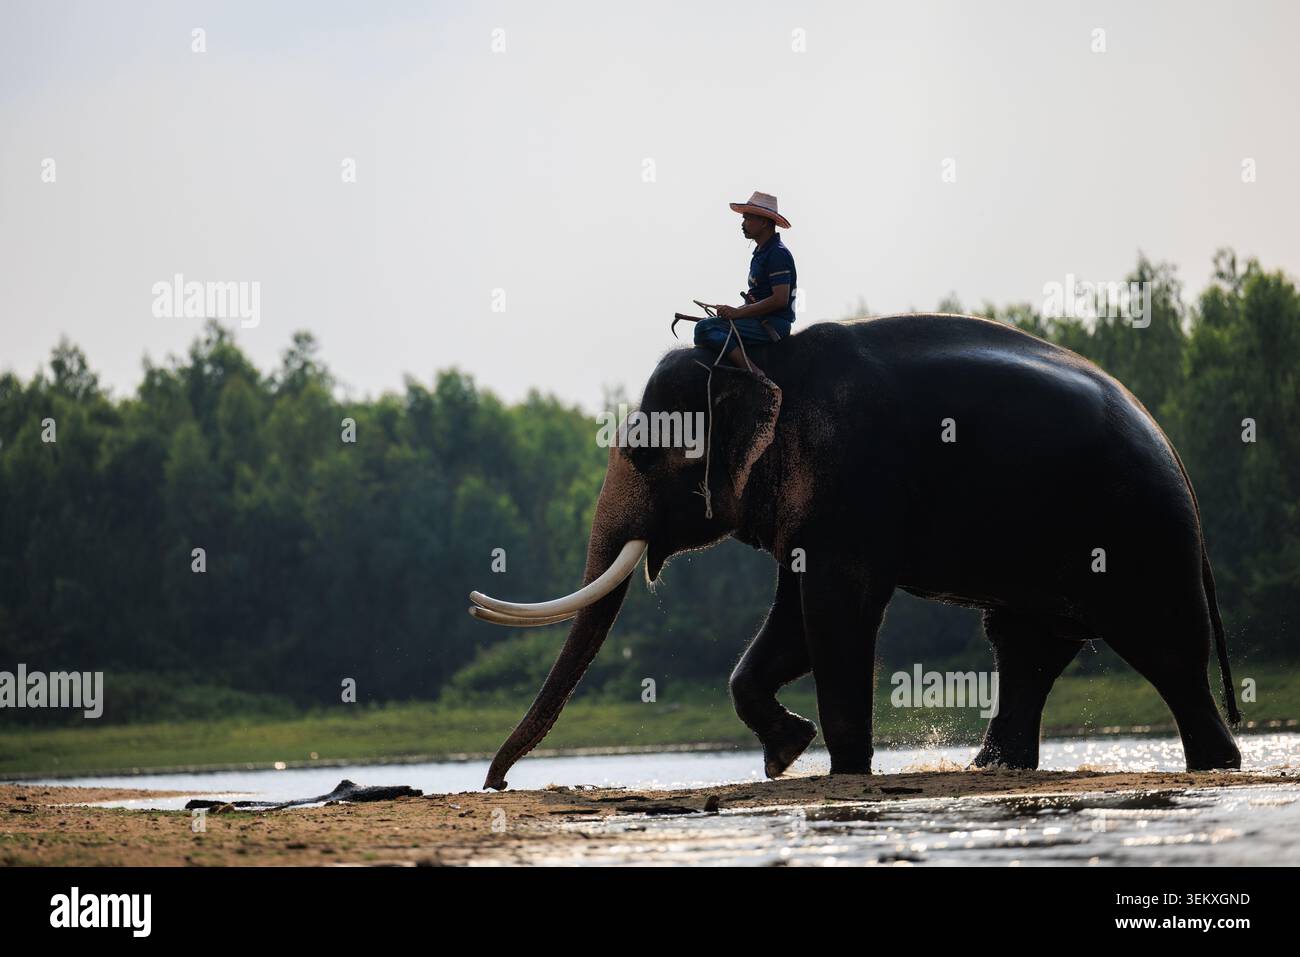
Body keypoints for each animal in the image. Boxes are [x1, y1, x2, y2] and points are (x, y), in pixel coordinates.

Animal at [469, 313, 1242, 790]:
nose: (496, 780)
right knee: (1025, 647)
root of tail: (1173, 450)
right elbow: (792, 624)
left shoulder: (850, 483)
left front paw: (838, 769)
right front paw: (787, 752)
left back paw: (1215, 764)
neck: (760, 361)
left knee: (1164, 650)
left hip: (1141, 535)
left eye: (641, 454)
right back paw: (990, 770)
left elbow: (835, 614)